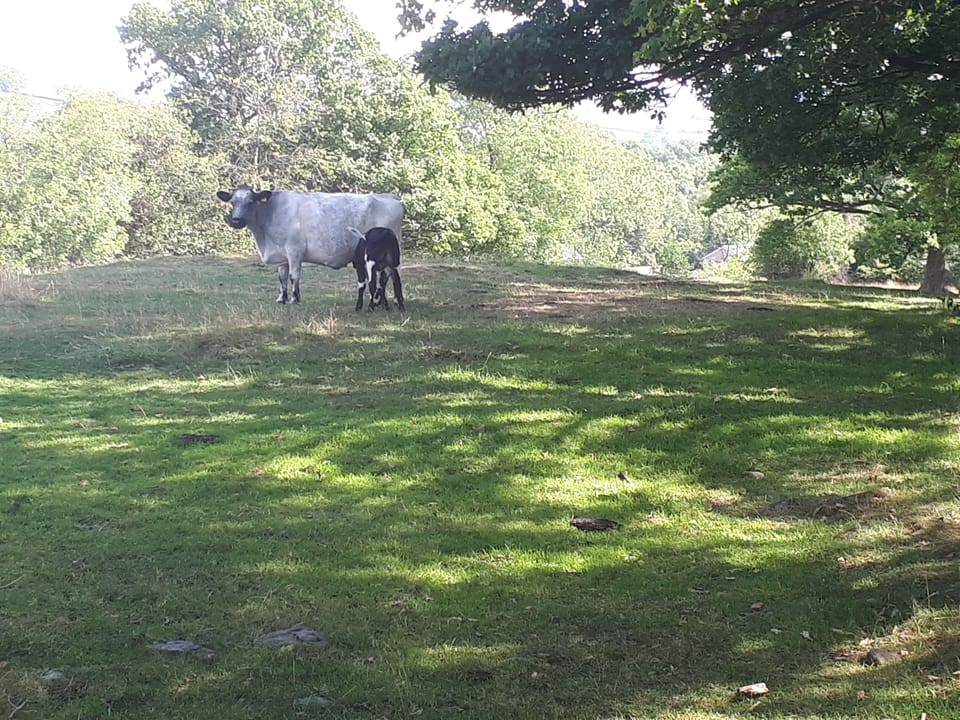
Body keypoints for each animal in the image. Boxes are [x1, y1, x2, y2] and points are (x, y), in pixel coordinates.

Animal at [216, 185, 405, 304]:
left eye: (250, 202)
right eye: (232, 202)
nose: (236, 220)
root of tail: (392, 197)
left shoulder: (294, 250)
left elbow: (294, 276)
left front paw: (295, 299)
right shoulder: (282, 255)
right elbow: (282, 277)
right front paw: (281, 299)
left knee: (387, 276)